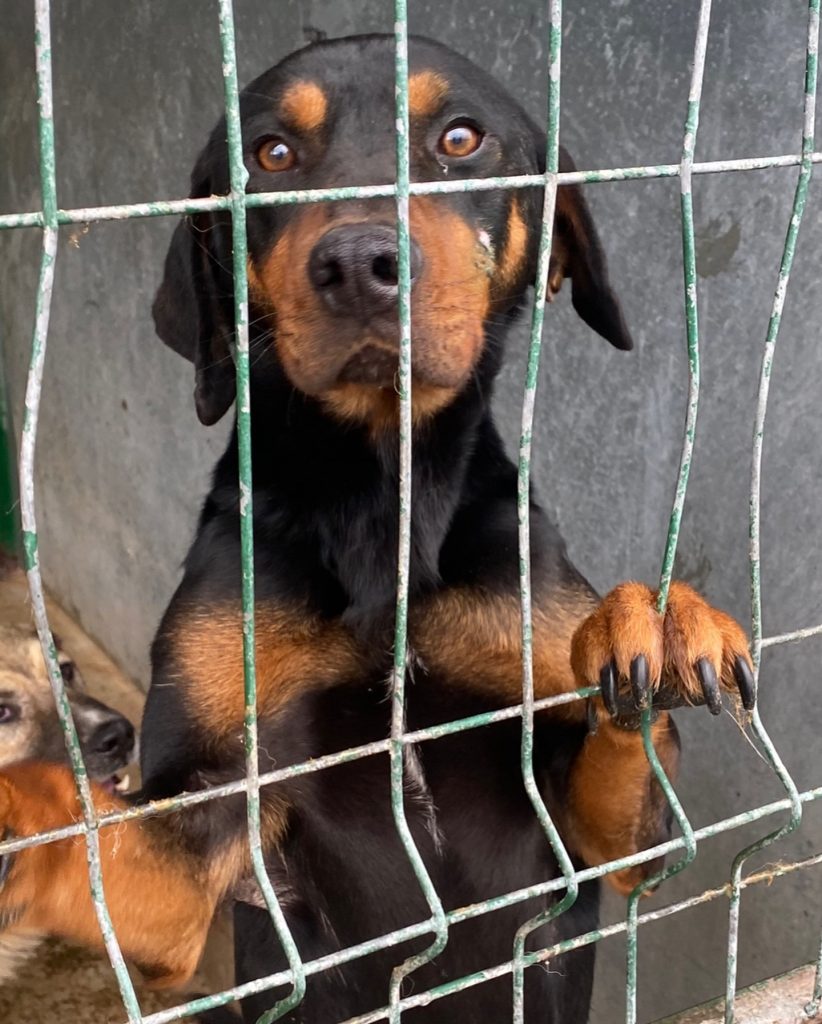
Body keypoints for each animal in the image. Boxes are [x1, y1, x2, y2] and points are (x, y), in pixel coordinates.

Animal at [0, 36, 753, 1019]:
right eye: (271, 153)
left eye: (462, 139)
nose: (358, 263)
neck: (381, 509)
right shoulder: (198, 832)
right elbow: (87, 833)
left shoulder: (609, 846)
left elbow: (626, 742)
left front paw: (655, 620)